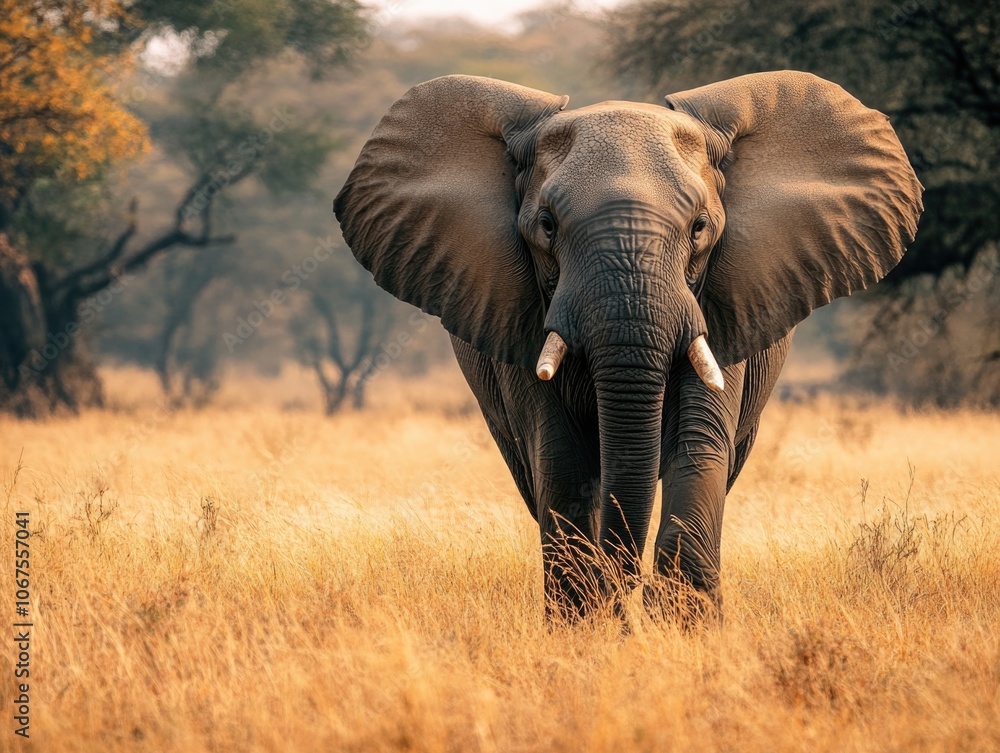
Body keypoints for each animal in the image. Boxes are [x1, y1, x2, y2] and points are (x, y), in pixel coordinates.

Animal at [334, 71, 922, 620]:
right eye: (546, 226)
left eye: (700, 227)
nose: (627, 589)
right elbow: (562, 459)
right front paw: (588, 628)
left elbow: (699, 445)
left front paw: (679, 630)